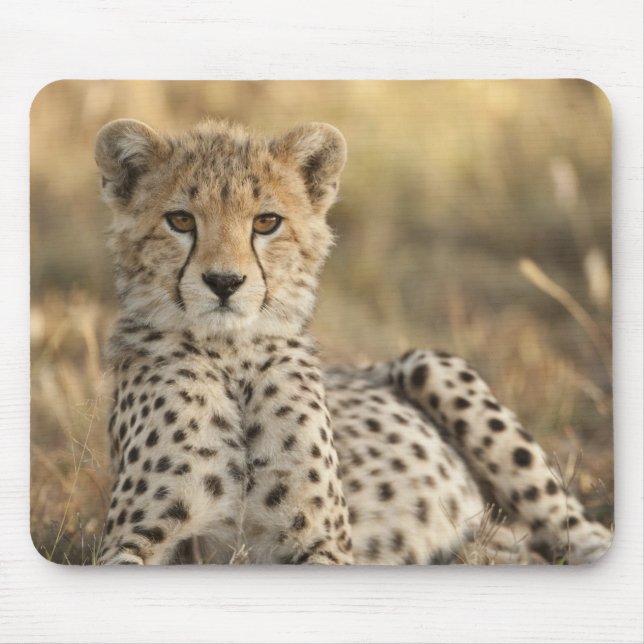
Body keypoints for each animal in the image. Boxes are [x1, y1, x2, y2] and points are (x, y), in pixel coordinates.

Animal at [94, 117, 612, 565]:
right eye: (181, 221)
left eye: (266, 222)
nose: (224, 282)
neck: (230, 356)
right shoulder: (133, 539)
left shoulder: (323, 540)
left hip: (431, 363)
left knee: (580, 532)